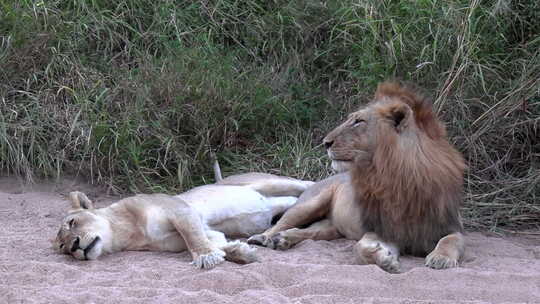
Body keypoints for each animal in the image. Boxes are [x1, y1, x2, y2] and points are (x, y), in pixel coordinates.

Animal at [52, 170, 314, 270]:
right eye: (63, 248)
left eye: (72, 223)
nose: (74, 246)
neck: (128, 233)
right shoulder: (203, 231)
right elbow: (215, 241)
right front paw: (241, 252)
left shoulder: (178, 209)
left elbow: (192, 237)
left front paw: (206, 258)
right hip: (280, 202)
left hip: (269, 182)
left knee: (307, 183)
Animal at [249, 82, 464, 272]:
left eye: (358, 121)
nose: (325, 142)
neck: (400, 178)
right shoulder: (383, 230)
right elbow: (359, 248)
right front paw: (384, 260)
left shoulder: (452, 226)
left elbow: (450, 240)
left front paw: (440, 258)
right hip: (308, 205)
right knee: (282, 223)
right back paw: (265, 238)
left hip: (332, 227)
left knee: (309, 232)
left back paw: (283, 239)